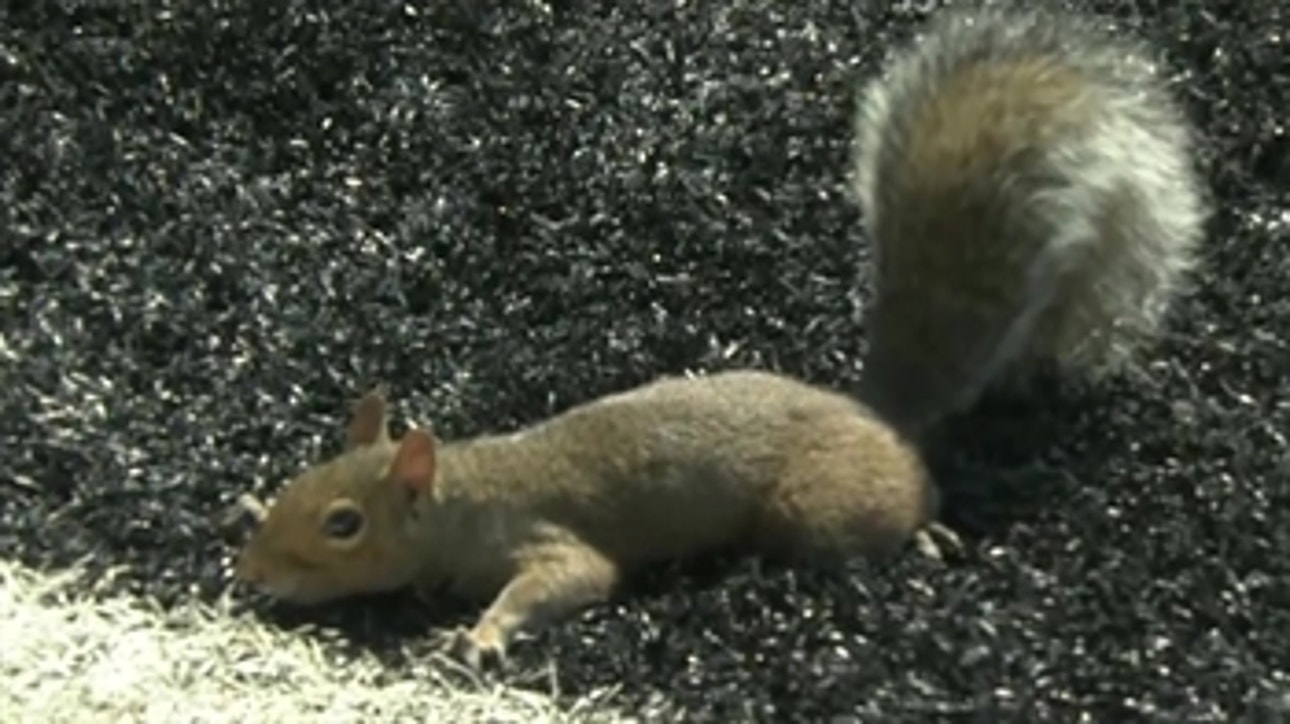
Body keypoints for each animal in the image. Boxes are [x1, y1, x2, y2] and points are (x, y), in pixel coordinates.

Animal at [232, 373, 958, 670]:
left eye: (344, 525)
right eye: (295, 481)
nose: (252, 573)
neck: (464, 498)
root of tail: (903, 449)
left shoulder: (543, 534)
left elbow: (570, 577)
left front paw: (479, 635)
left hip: (818, 506)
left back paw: (923, 532)